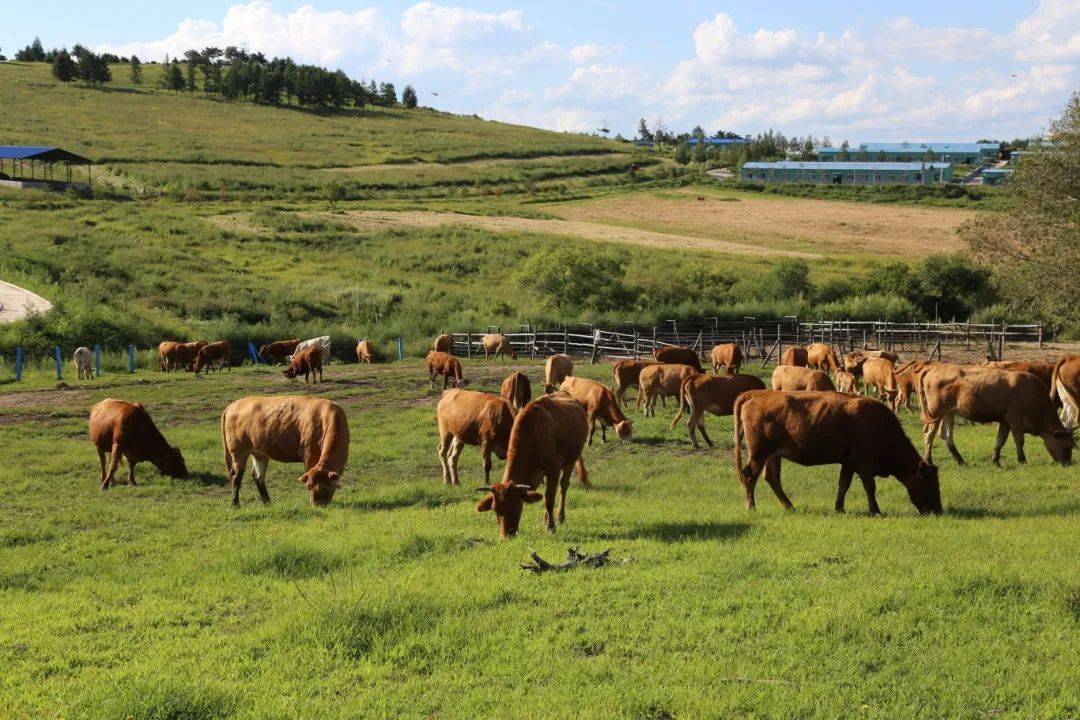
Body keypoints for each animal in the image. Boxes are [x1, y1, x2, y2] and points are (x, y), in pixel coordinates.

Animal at [220, 395, 349, 507]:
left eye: (323, 487)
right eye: (309, 486)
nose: (316, 505)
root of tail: (233, 405)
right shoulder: (309, 453)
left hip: (259, 453)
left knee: (258, 477)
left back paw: (267, 502)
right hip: (239, 451)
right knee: (236, 477)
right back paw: (235, 504)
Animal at [475, 390, 587, 537]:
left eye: (518, 506)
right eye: (495, 509)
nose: (506, 536)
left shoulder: (554, 468)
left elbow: (549, 499)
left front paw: (551, 527)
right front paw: (547, 522)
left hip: (571, 460)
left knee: (563, 487)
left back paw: (560, 517)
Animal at [730, 390, 941, 515]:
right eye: (931, 484)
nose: (938, 511)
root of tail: (756, 394)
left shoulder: (848, 462)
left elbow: (843, 485)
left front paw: (839, 508)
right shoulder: (863, 463)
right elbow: (870, 486)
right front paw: (876, 510)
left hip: (773, 455)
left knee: (771, 478)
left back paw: (789, 506)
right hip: (759, 453)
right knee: (750, 476)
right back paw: (751, 506)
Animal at [915, 367, 1075, 468]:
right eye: (1067, 447)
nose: (1068, 463)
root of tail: (934, 369)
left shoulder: (1005, 421)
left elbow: (1000, 441)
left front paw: (996, 461)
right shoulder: (1015, 421)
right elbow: (1019, 441)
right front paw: (1022, 461)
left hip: (948, 414)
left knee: (946, 436)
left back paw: (960, 460)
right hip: (936, 413)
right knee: (929, 434)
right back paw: (928, 460)